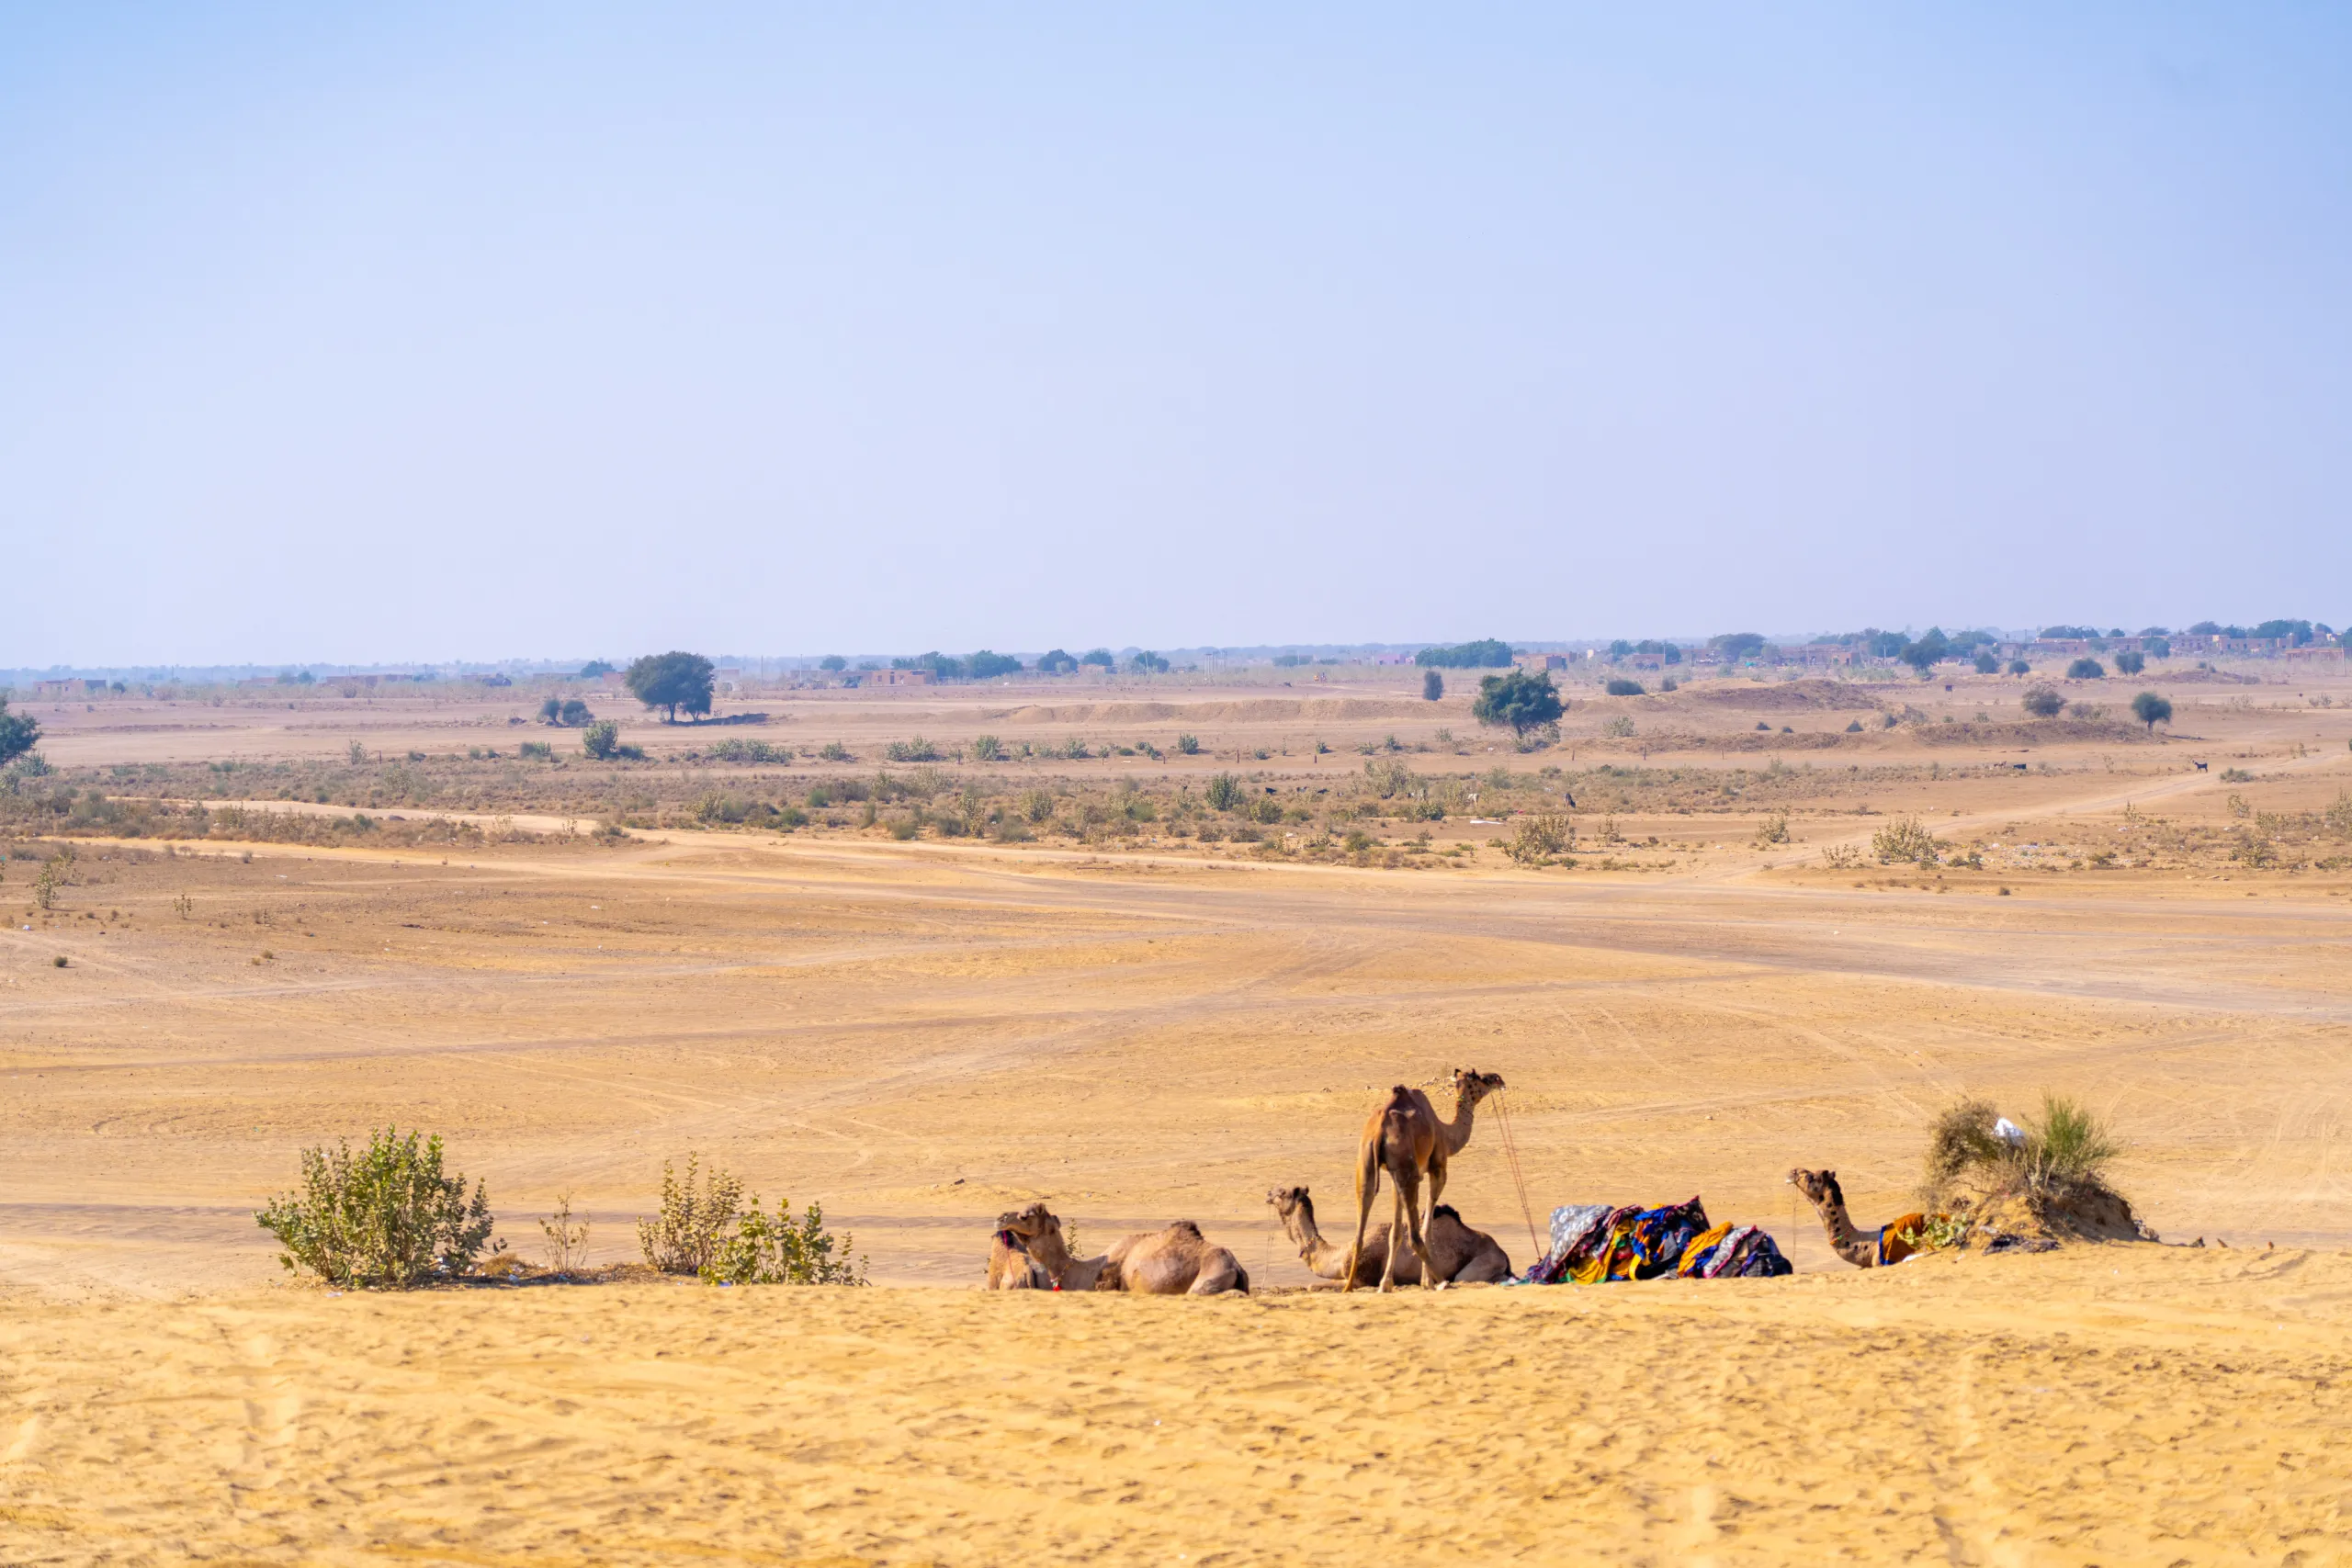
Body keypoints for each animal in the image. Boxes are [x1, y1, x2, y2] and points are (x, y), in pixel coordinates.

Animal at [1267, 1185, 1511, 1286]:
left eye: (1282, 1193)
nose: (1268, 1193)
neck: (1338, 1255)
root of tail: (1503, 1254)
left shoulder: (1361, 1278)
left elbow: (1311, 1286)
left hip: (1479, 1265)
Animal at [1343, 1067, 1505, 1293]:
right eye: (1480, 1077)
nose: (1498, 1079)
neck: (1446, 1134)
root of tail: (1380, 1130)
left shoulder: (1394, 1176)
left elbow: (1395, 1233)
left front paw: (1385, 1284)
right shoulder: (1437, 1168)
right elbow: (1427, 1227)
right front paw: (1426, 1282)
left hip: (1367, 1164)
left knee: (1359, 1230)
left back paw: (1348, 1288)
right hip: (1408, 1170)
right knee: (1414, 1236)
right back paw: (1443, 1282)